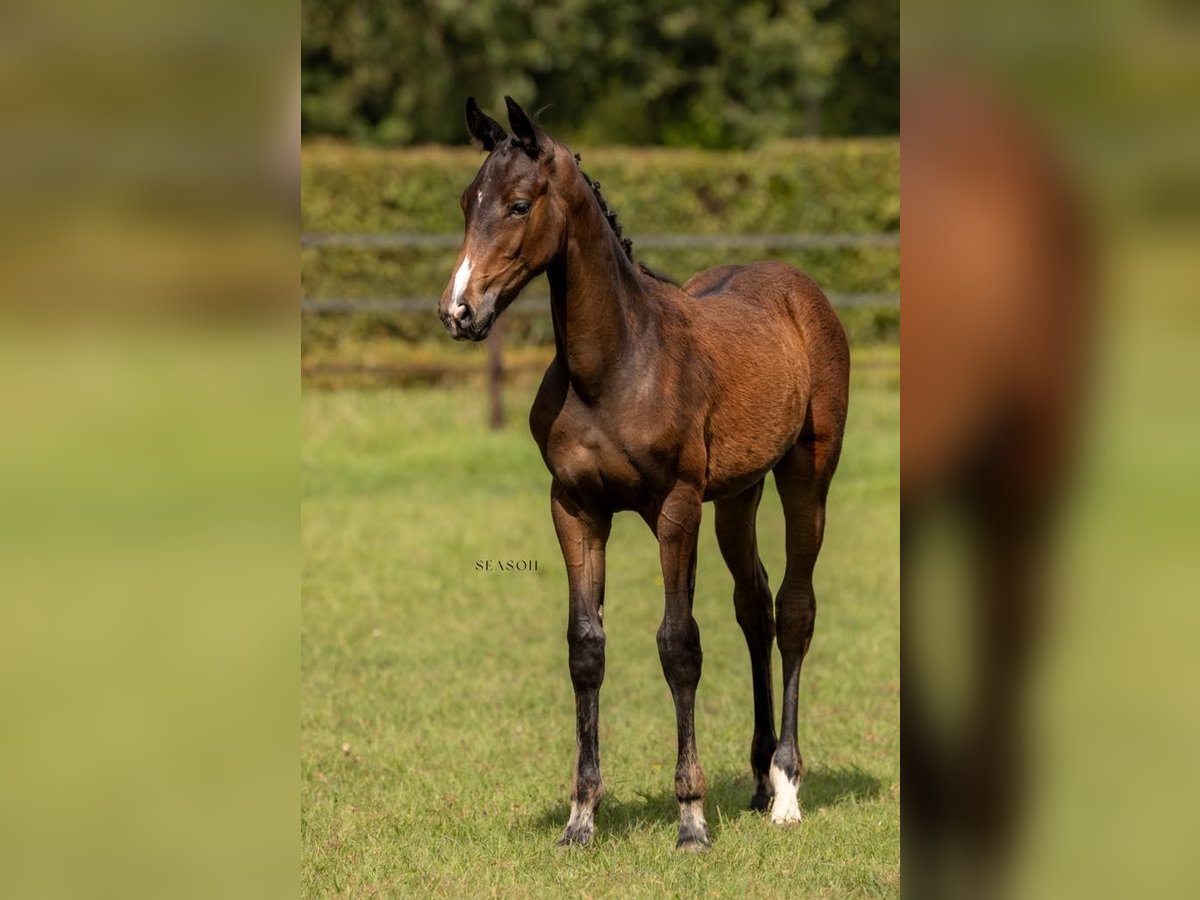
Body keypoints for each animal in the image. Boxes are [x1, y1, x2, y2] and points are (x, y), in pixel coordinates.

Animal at [436, 98, 849, 854]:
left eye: (518, 204)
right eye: (465, 201)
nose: (458, 312)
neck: (617, 366)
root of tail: (798, 286)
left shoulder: (675, 507)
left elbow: (678, 644)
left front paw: (690, 819)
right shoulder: (574, 507)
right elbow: (586, 647)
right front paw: (580, 818)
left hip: (806, 477)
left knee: (795, 610)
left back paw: (786, 788)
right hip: (736, 497)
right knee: (755, 606)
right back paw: (756, 781)